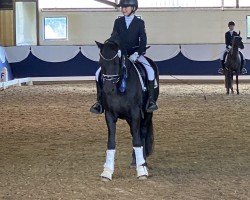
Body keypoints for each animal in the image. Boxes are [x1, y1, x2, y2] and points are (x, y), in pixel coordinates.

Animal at [94, 39, 159, 180]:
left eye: (116, 62)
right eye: (100, 63)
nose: (107, 89)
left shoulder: (135, 114)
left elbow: (137, 140)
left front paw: (142, 170)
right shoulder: (110, 115)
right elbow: (111, 142)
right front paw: (107, 171)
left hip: (147, 113)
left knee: (142, 133)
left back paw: (142, 162)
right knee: (135, 133)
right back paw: (135, 161)